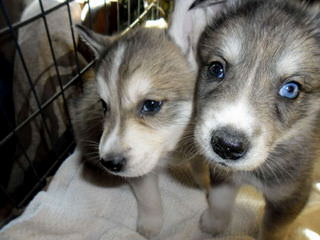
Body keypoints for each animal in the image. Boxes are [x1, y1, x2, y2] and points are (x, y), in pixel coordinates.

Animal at [188, 0, 320, 240]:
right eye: (216, 68)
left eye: (290, 89)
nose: (227, 146)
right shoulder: (223, 174)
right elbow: (220, 202)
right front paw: (213, 224)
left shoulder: (290, 197)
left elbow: (271, 231)